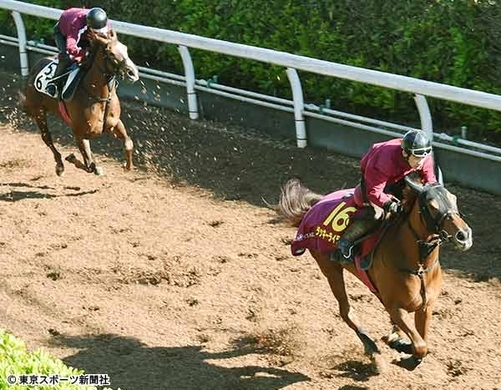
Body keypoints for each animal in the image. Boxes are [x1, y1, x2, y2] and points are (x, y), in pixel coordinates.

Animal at [20, 27, 139, 174]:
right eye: (110, 53)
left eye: (125, 49)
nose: (133, 73)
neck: (98, 97)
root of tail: (36, 67)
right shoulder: (78, 132)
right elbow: (89, 166)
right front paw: (72, 158)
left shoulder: (114, 123)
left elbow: (128, 143)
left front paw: (127, 166)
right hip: (38, 111)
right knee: (46, 137)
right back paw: (59, 165)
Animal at [278, 176, 472, 372]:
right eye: (432, 206)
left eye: (454, 199)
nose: (463, 235)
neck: (418, 267)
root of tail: (314, 206)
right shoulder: (396, 307)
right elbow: (420, 346)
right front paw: (403, 353)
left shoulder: (425, 307)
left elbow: (423, 342)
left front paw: (399, 343)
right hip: (330, 269)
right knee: (346, 311)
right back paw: (374, 353)